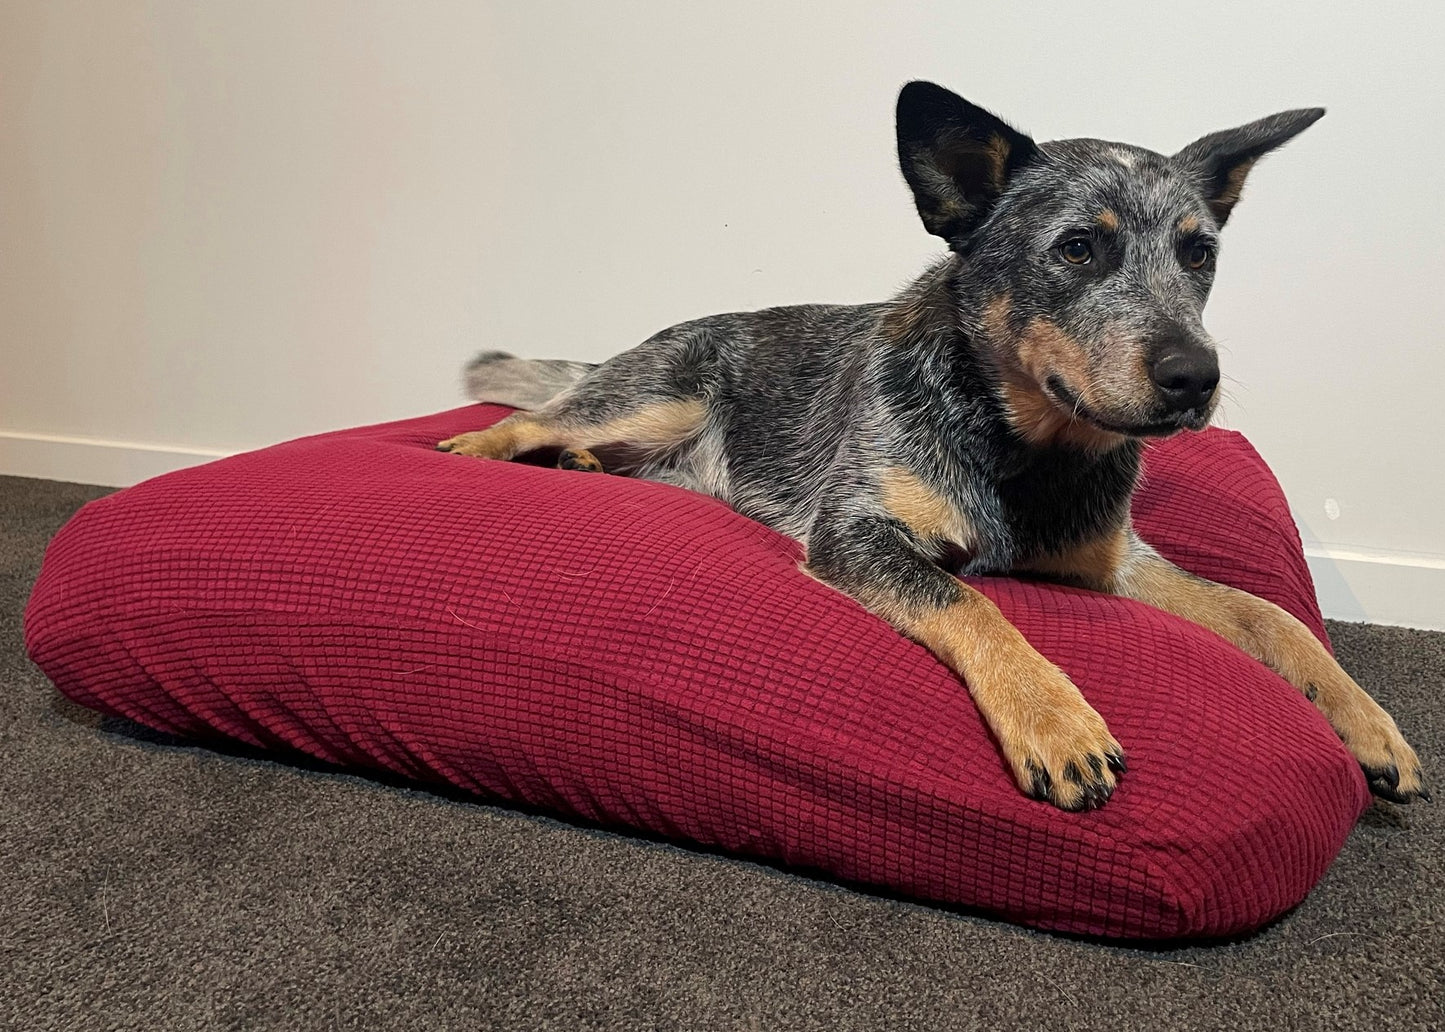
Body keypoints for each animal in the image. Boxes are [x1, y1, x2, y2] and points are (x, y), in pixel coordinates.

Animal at [436, 80, 1421, 809]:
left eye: (1199, 254)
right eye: (1076, 249)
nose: (1195, 376)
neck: (1022, 449)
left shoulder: (1114, 563)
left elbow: (1267, 613)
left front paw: (1365, 719)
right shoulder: (858, 533)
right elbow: (969, 601)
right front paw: (1055, 720)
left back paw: (576, 467)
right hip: (654, 398)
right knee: (533, 414)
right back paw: (470, 452)